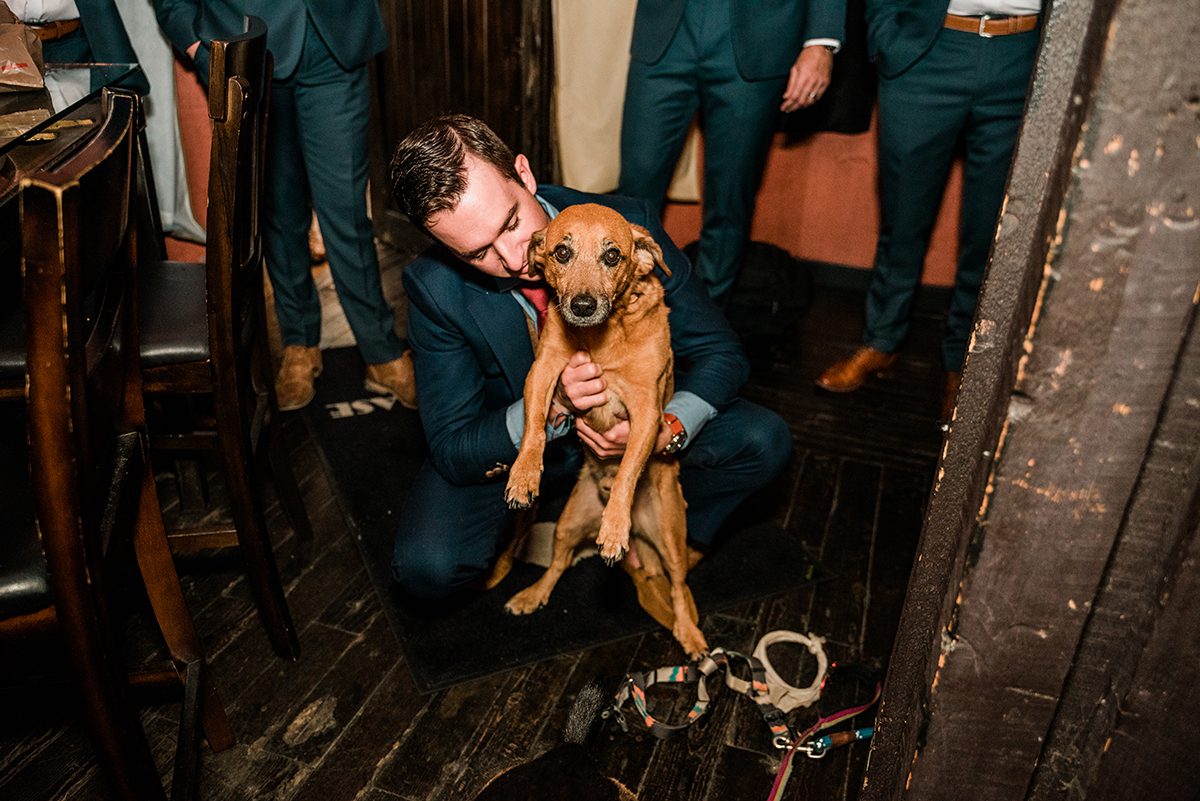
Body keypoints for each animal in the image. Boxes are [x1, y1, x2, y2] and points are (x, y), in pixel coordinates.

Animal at [501, 203, 705, 661]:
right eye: (561, 252)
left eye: (613, 256)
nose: (581, 305)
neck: (600, 337)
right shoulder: (544, 372)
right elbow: (534, 429)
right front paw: (524, 475)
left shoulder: (646, 411)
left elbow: (629, 469)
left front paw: (614, 526)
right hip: (567, 524)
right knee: (558, 563)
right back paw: (533, 594)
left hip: (671, 538)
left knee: (680, 585)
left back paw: (689, 632)